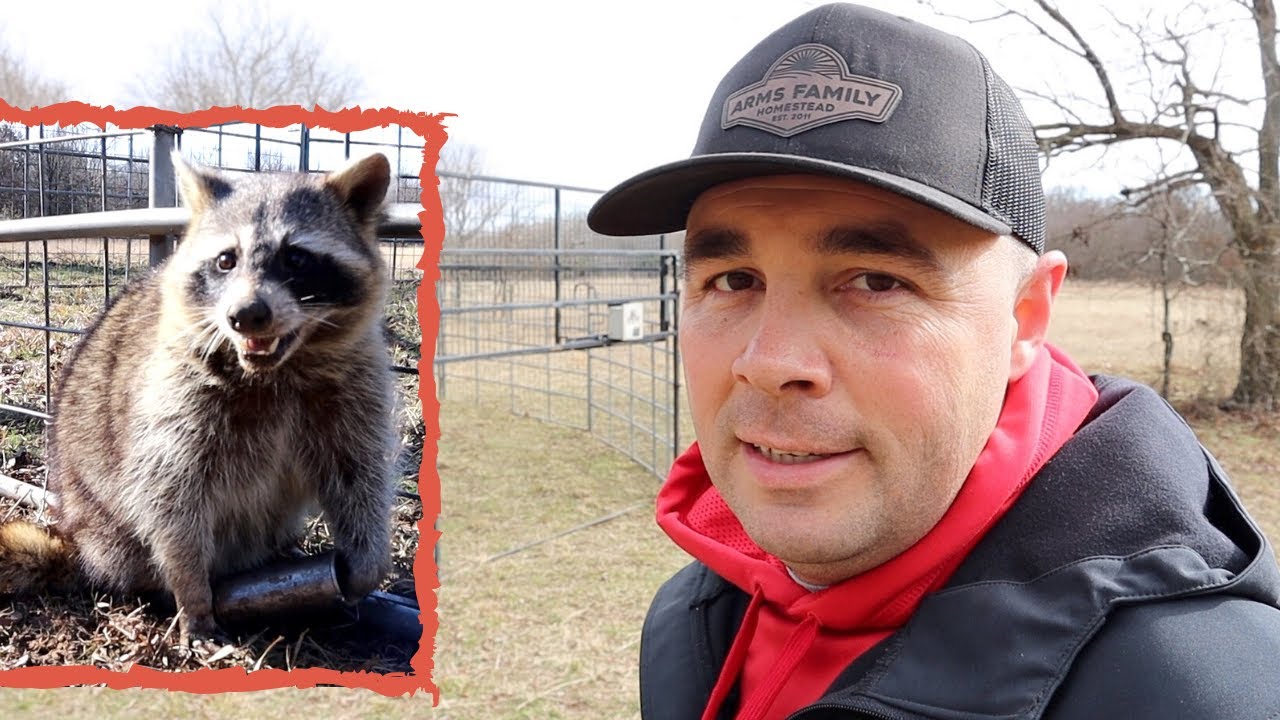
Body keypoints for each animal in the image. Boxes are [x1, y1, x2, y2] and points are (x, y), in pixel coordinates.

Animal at [1, 152, 399, 644]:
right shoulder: (175, 393)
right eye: (226, 260)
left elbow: (359, 472)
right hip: (105, 522)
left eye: (297, 257)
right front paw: (191, 589)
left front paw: (367, 560)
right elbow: (171, 493)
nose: (245, 315)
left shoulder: (353, 383)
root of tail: (78, 538)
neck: (274, 370)